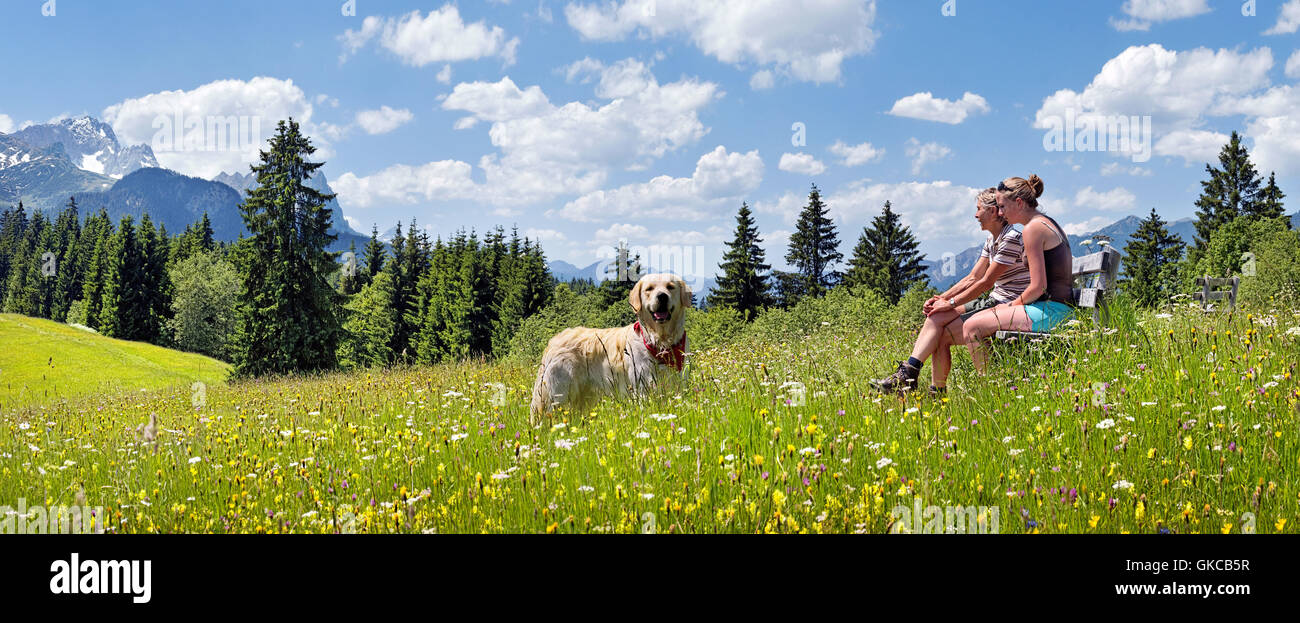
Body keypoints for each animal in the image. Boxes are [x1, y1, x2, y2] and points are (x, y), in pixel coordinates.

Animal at [527, 273, 691, 424]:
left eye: (670, 287)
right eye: (649, 289)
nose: (662, 296)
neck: (660, 342)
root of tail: (554, 341)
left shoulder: (679, 383)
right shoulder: (644, 385)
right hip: (558, 396)